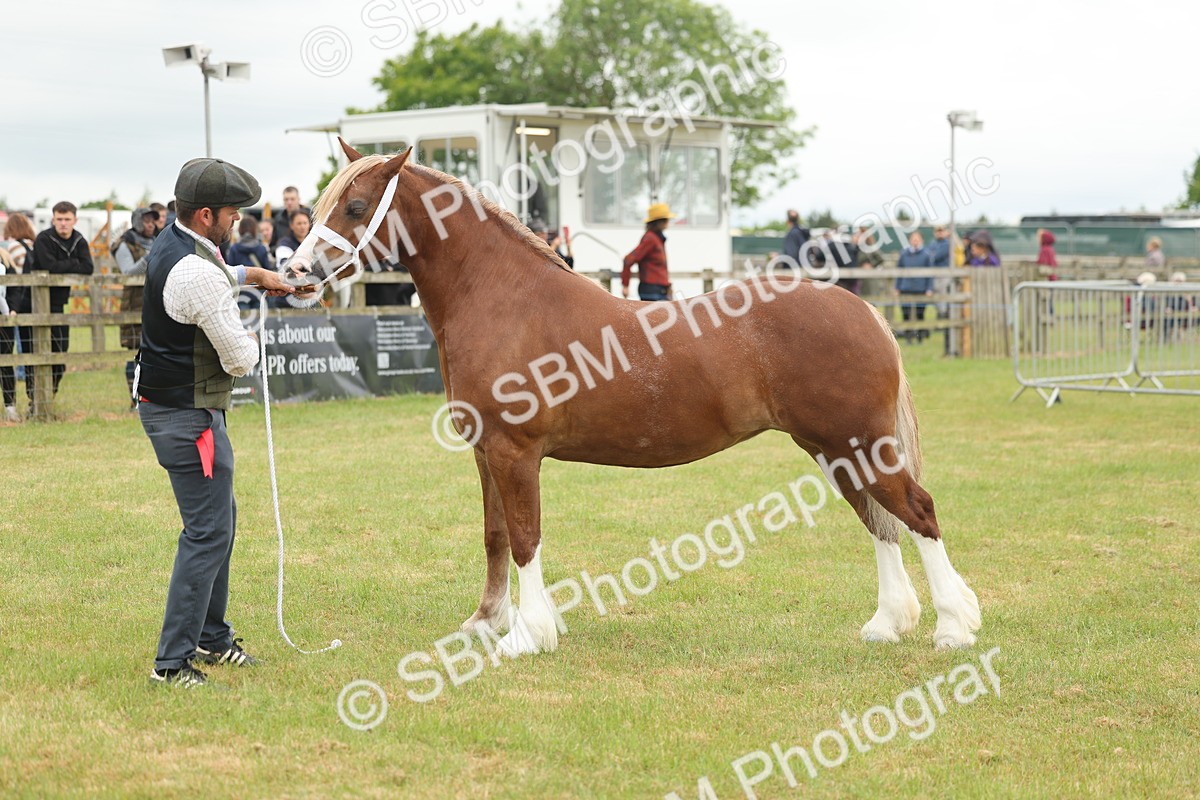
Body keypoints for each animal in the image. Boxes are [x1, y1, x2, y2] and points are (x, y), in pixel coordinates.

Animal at [283, 139, 981, 655]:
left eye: (357, 205)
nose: (296, 272)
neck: (504, 298)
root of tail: (862, 309)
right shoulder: (485, 452)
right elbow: (495, 536)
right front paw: (484, 624)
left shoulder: (515, 453)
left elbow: (526, 538)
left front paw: (526, 637)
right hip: (833, 449)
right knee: (880, 522)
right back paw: (887, 625)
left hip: (861, 443)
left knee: (917, 511)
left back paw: (952, 628)